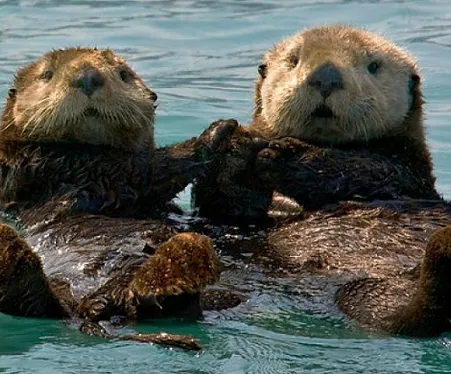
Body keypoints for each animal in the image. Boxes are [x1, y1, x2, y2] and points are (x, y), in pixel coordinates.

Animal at [0, 47, 240, 350]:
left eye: (123, 74)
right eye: (47, 74)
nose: (87, 77)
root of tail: (92, 307)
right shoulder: (62, 166)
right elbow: (148, 169)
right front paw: (220, 129)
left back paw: (181, 263)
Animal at [192, 24, 451, 338]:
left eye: (373, 66)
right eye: (293, 60)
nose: (326, 76)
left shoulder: (403, 172)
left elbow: (359, 170)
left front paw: (285, 154)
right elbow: (235, 206)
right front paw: (235, 145)